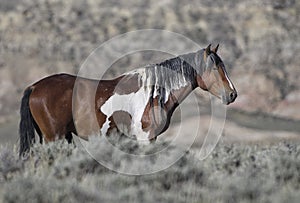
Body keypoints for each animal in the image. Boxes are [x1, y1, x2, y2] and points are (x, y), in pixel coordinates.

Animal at [19, 44, 238, 155]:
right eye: (214, 67)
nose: (232, 94)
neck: (156, 92)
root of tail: (35, 87)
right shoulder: (145, 138)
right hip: (53, 138)